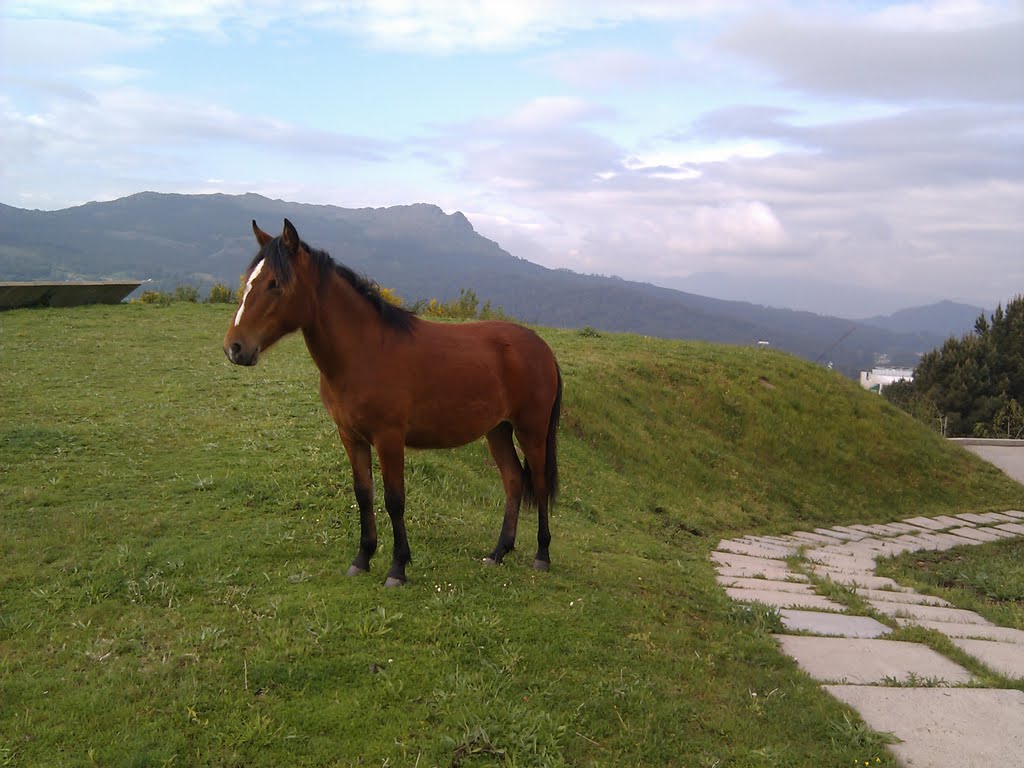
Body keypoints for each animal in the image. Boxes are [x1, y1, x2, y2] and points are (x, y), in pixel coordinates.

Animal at [222, 219, 569, 585]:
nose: (234, 347)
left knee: (539, 485)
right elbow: (364, 494)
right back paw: (498, 552)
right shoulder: (351, 438)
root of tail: (541, 348)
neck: (366, 351)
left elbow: (394, 499)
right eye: (249, 280)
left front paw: (397, 568)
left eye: (274, 283)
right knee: (514, 481)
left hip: (531, 431)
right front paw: (362, 558)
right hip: (498, 430)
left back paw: (542, 555)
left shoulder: (389, 439)